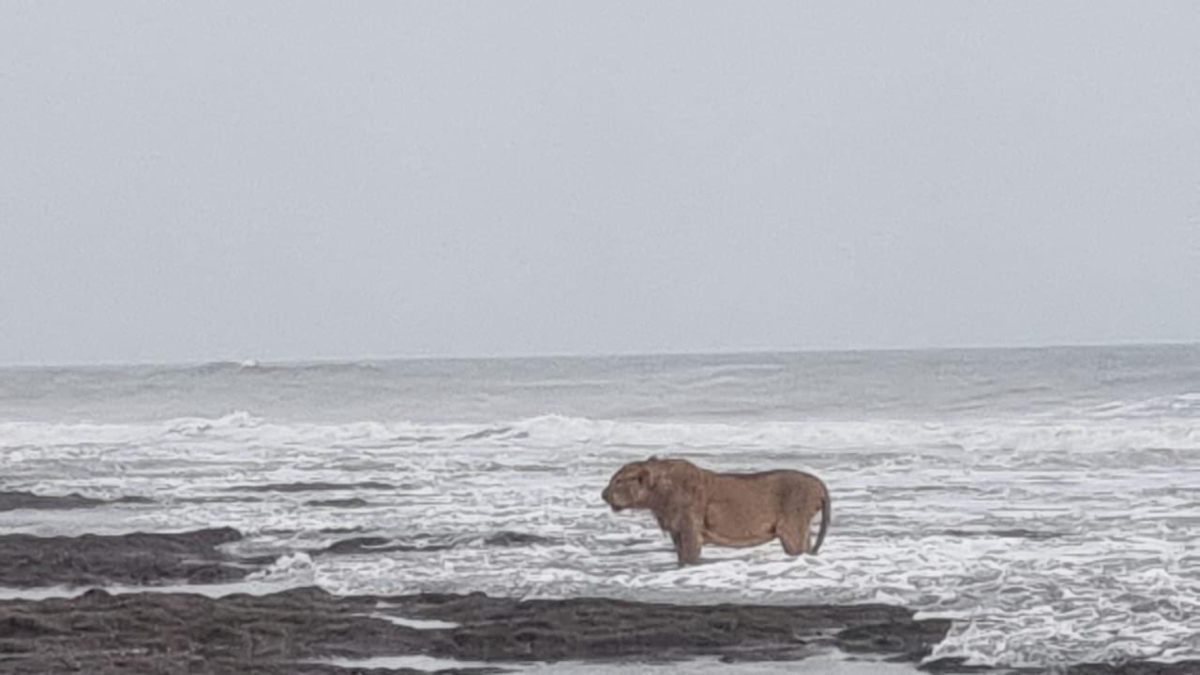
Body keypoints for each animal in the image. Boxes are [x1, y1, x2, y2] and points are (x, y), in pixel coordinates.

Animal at [604, 454, 830, 564]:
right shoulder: (676, 532)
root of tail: (819, 483)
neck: (657, 495)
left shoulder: (690, 530)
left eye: (618, 481)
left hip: (792, 530)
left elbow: (689, 557)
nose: (603, 494)